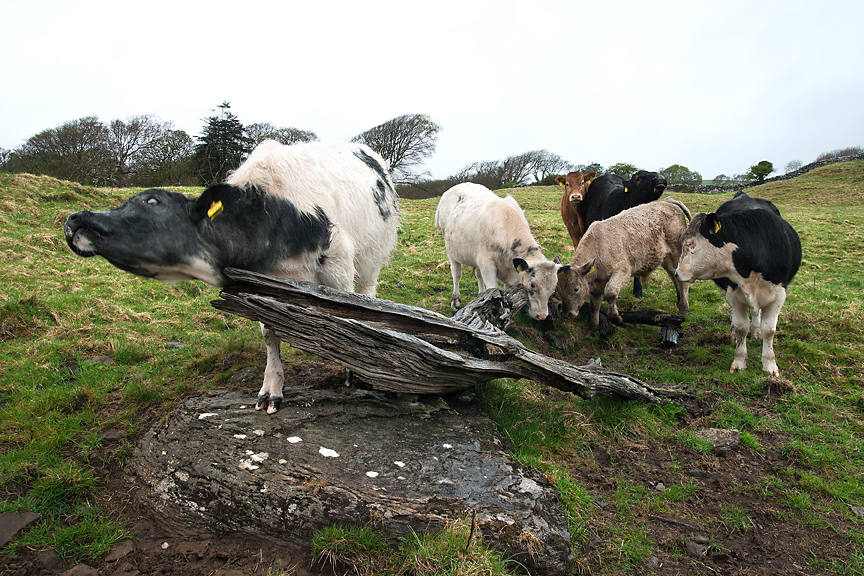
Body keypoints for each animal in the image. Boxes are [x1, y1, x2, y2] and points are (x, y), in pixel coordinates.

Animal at [65, 142, 402, 416]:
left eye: (152, 201)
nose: (76, 218)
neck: (269, 215)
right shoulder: (262, 285)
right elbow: (270, 333)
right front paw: (271, 389)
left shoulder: (338, 264)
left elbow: (346, 317)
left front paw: (353, 369)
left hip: (370, 259)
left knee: (367, 295)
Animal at [432, 182, 568, 320]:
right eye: (532, 285)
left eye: (554, 287)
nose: (542, 316)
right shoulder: (487, 263)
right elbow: (494, 290)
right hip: (450, 249)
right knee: (456, 274)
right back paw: (456, 300)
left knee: (478, 275)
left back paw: (480, 294)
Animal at [556, 199, 692, 330]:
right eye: (558, 290)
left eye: (576, 288)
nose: (566, 314)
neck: (599, 248)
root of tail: (668, 202)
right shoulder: (595, 285)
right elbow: (595, 306)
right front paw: (593, 329)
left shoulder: (623, 271)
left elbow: (610, 293)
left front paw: (617, 318)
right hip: (666, 259)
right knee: (674, 276)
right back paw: (679, 300)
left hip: (677, 252)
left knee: (683, 280)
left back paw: (684, 308)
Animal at [676, 191, 804, 376]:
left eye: (690, 243)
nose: (677, 273)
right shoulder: (733, 292)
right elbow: (741, 326)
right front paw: (739, 361)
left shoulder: (779, 293)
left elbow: (769, 330)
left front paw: (769, 364)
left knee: (757, 315)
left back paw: (756, 331)